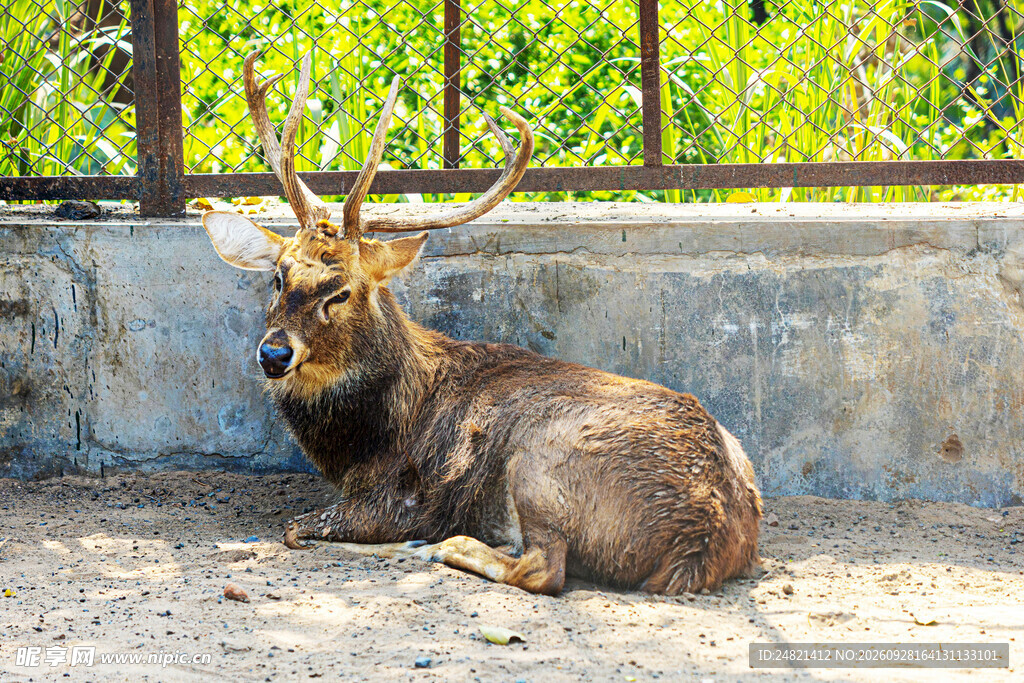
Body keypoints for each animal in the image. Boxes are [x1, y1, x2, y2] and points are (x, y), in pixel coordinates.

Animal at [199, 50, 763, 596]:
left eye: (341, 292)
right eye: (278, 277)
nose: (274, 354)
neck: (369, 437)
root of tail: (700, 542)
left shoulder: (403, 494)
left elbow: (299, 528)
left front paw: (405, 541)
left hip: (540, 460)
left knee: (543, 569)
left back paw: (437, 548)